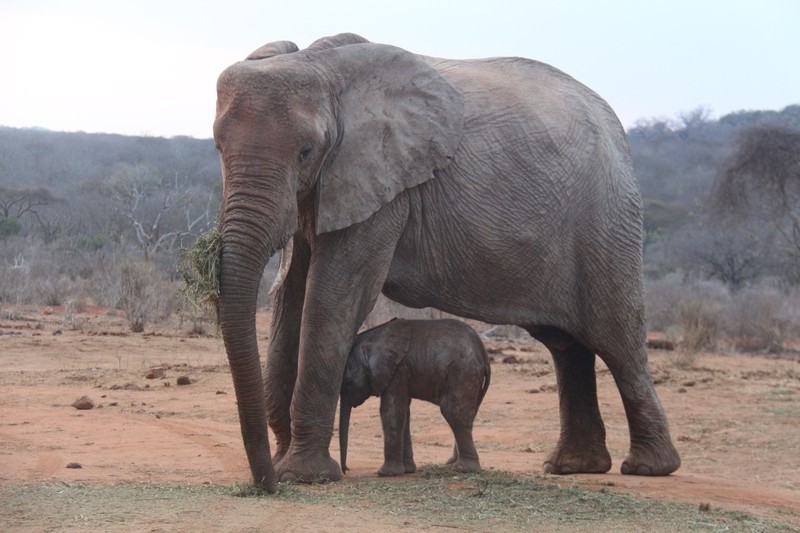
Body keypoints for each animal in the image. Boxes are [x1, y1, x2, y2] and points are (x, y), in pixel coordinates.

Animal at [336, 318, 488, 476]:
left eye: (347, 382)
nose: (346, 469)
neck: (374, 338)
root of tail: (483, 352)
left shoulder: (398, 370)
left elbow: (391, 411)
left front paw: (386, 473)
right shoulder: (402, 371)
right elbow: (403, 412)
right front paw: (408, 470)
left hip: (462, 372)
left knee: (453, 413)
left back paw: (464, 469)